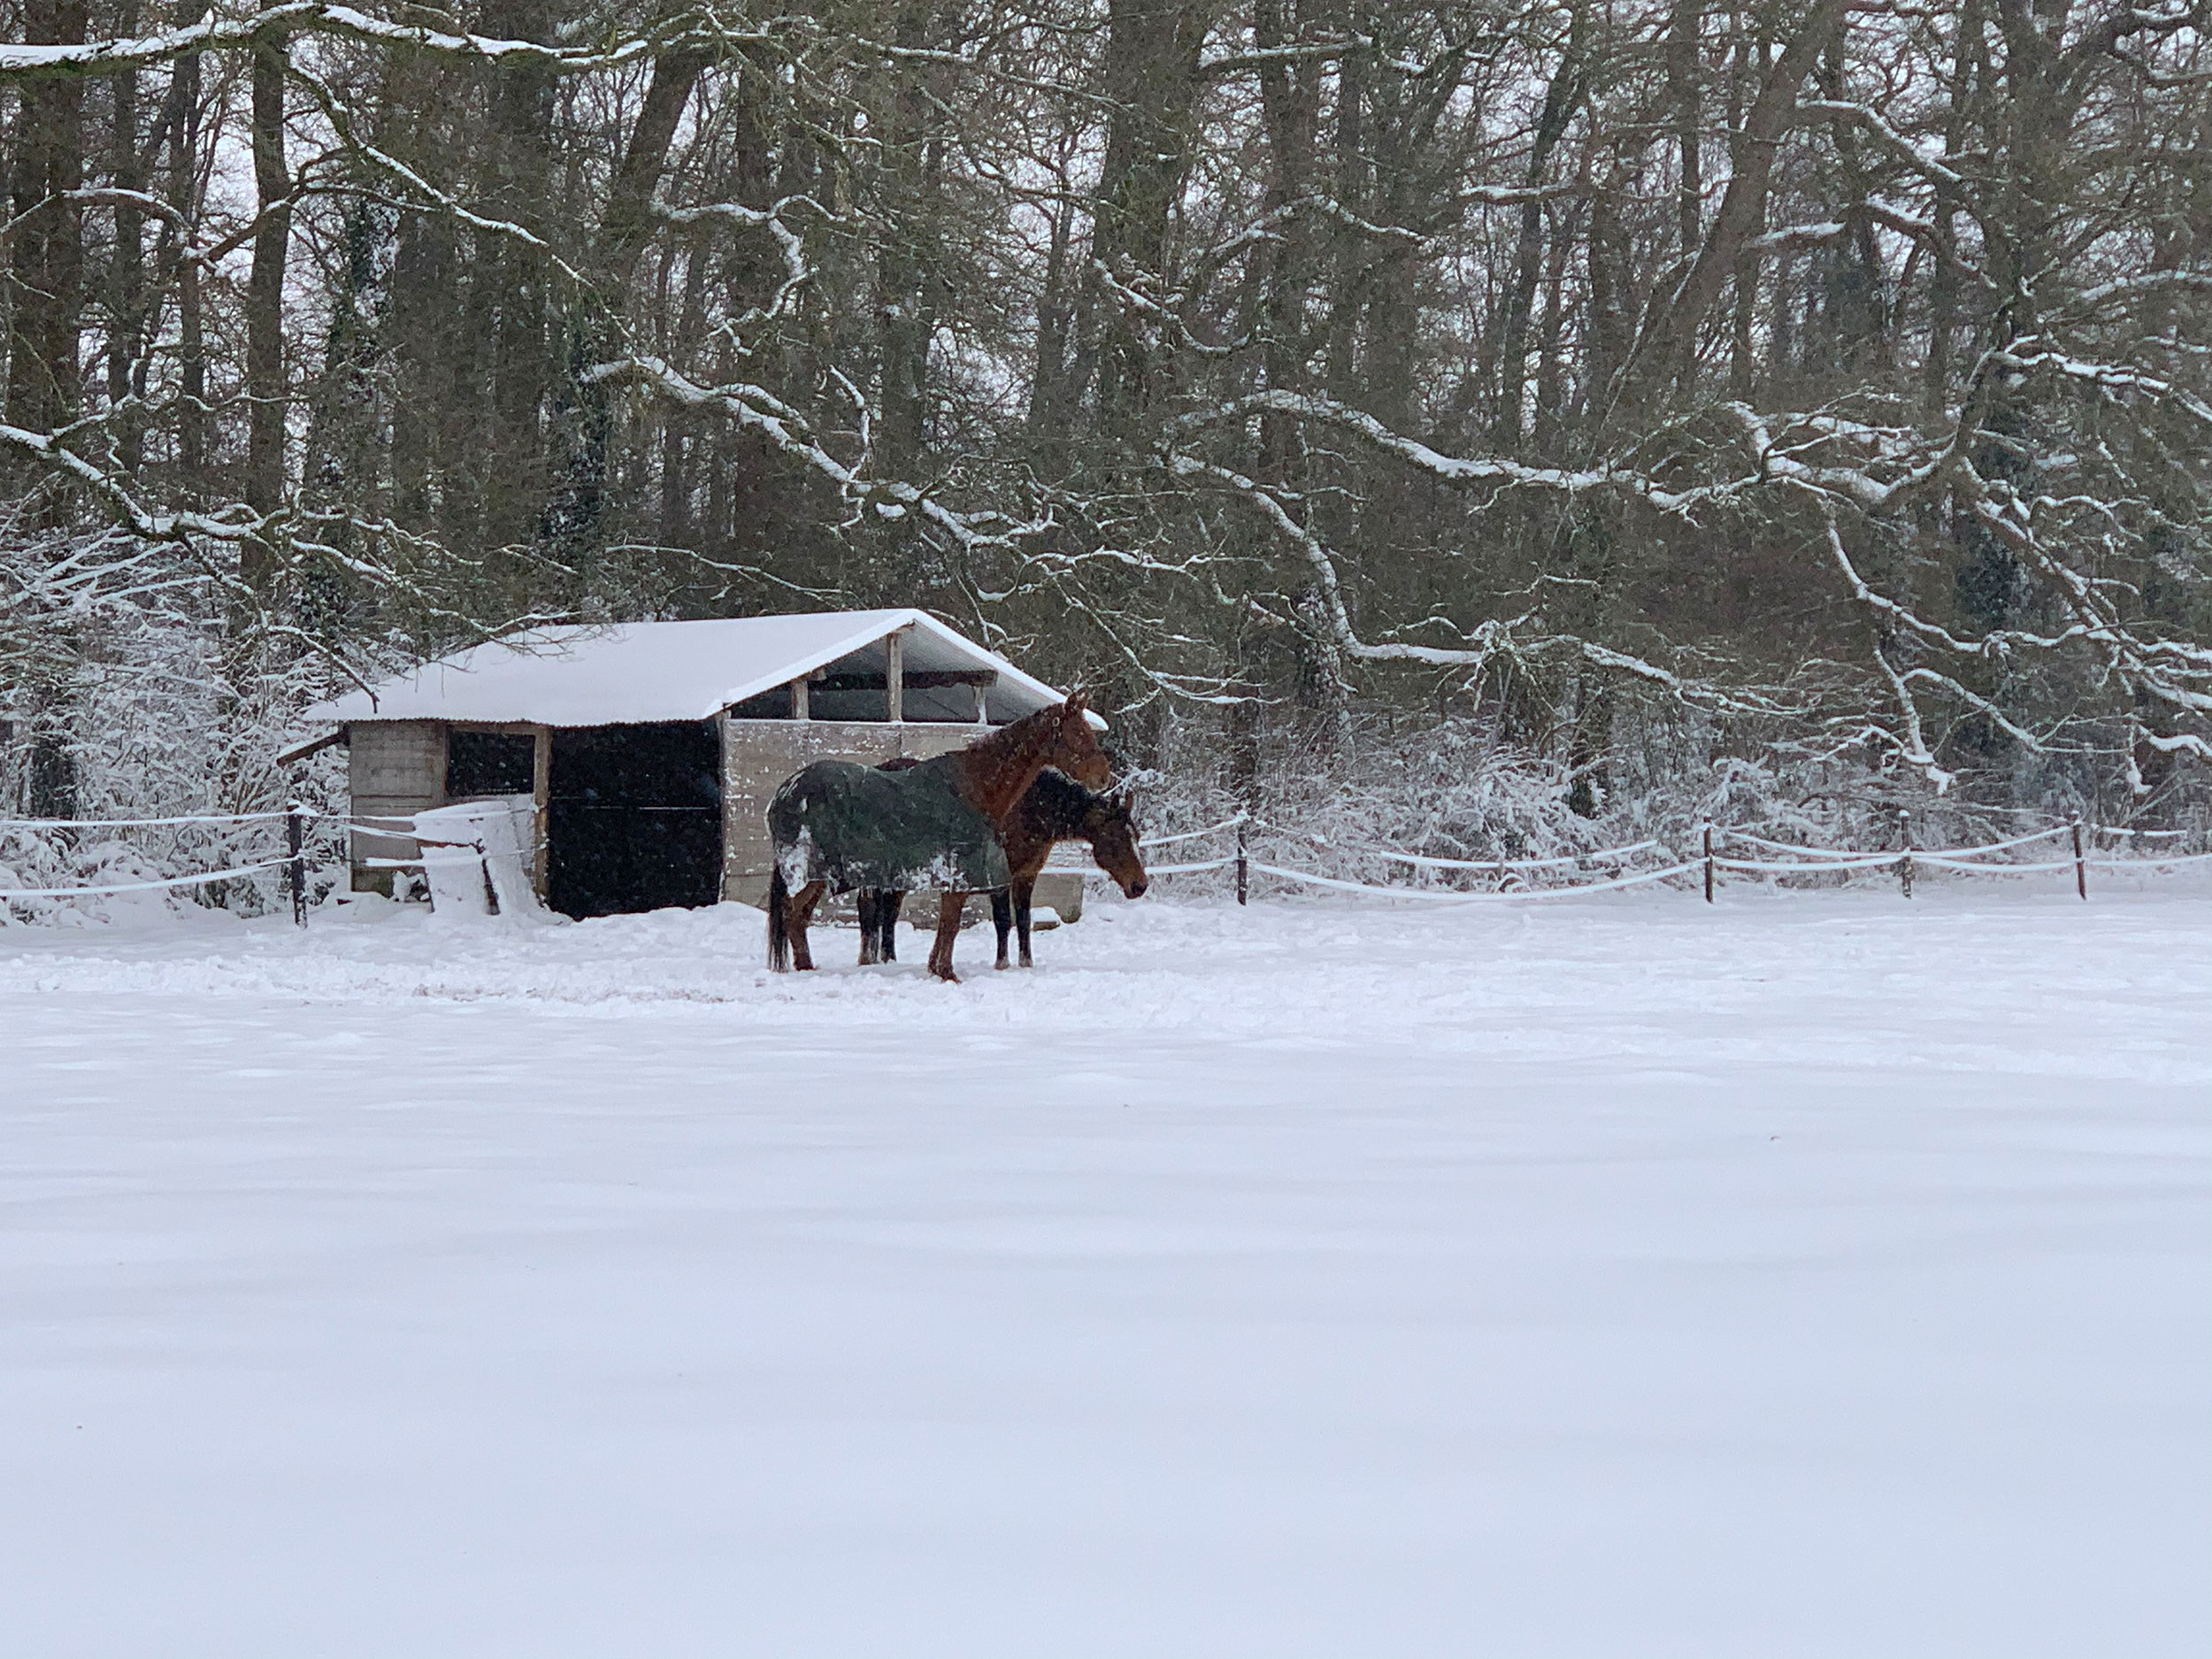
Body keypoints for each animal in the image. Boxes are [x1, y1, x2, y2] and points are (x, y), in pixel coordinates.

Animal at [765, 690, 1106, 982]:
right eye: (1078, 734)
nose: (1104, 777)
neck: (975, 790)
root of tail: (784, 792)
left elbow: (947, 925)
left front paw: (937, 968)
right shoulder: (961, 876)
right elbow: (953, 925)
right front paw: (947, 973)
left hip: (818, 877)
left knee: (798, 917)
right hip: (810, 873)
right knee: (793, 915)